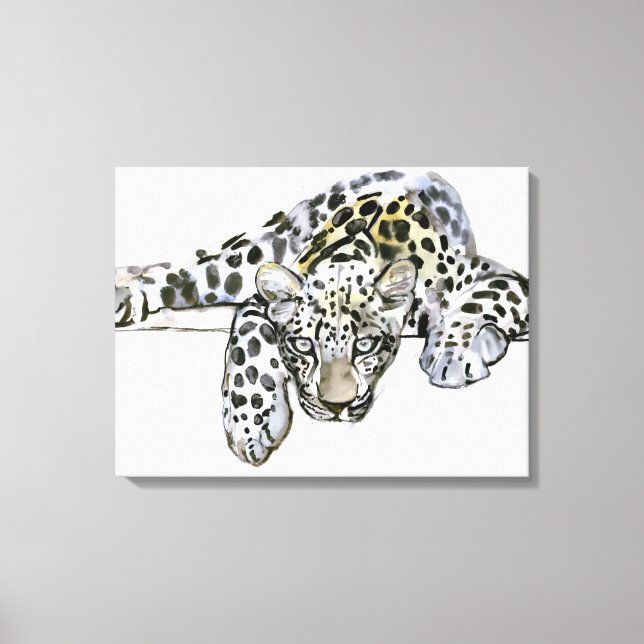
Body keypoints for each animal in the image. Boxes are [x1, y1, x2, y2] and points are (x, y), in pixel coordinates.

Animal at [116, 170, 529, 466]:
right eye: (302, 346)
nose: (335, 408)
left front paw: (451, 355)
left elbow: (478, 298)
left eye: (366, 345)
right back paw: (125, 297)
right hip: (248, 258)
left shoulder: (503, 277)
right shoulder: (263, 296)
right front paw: (252, 423)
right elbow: (248, 336)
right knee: (180, 273)